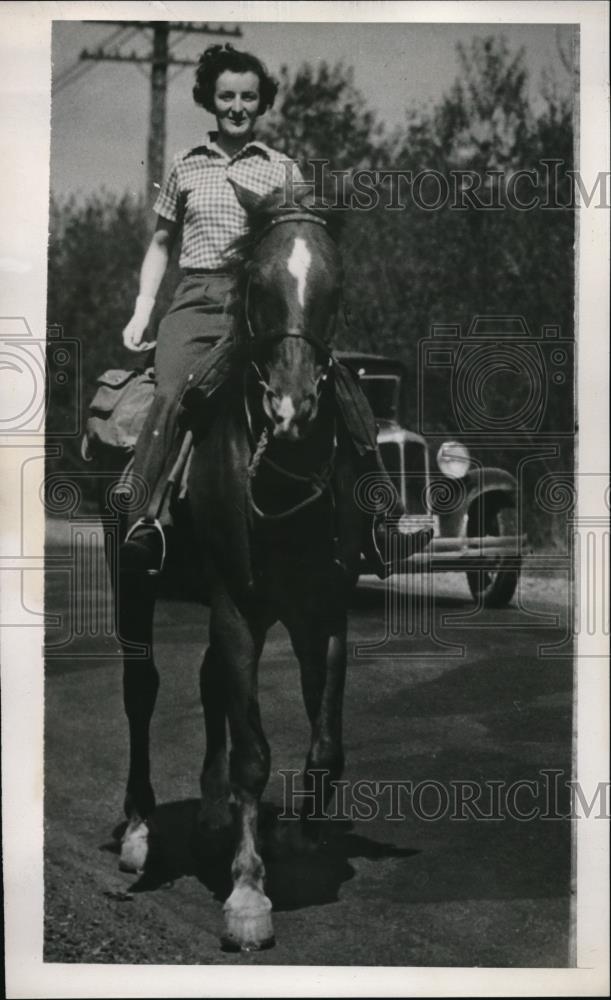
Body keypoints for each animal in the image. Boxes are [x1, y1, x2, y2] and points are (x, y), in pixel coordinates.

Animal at [116, 182, 366, 952]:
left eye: (334, 286)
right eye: (257, 284)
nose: (291, 407)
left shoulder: (325, 608)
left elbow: (326, 740)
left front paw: (307, 834)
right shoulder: (237, 606)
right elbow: (254, 751)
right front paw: (248, 894)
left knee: (207, 683)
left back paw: (210, 814)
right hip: (132, 585)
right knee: (142, 692)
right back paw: (138, 830)